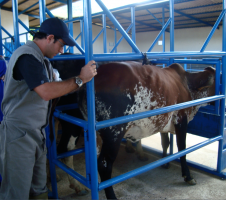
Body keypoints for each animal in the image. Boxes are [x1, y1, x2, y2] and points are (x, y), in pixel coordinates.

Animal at [77, 61, 215, 199]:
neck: (187, 83)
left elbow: (165, 142)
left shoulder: (163, 121)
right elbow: (182, 148)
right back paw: (111, 195)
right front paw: (188, 176)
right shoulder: (181, 119)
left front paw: (165, 163)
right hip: (114, 134)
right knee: (104, 164)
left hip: (98, 136)